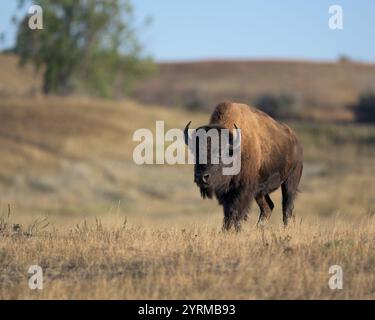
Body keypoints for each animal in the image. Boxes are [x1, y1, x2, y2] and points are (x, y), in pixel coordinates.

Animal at [185, 102, 306, 230]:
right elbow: (228, 212)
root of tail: (297, 142)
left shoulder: (243, 190)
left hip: (290, 181)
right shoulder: (226, 193)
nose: (201, 177)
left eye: (220, 154)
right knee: (268, 207)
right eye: (195, 153)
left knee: (287, 206)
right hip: (260, 192)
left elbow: (236, 211)